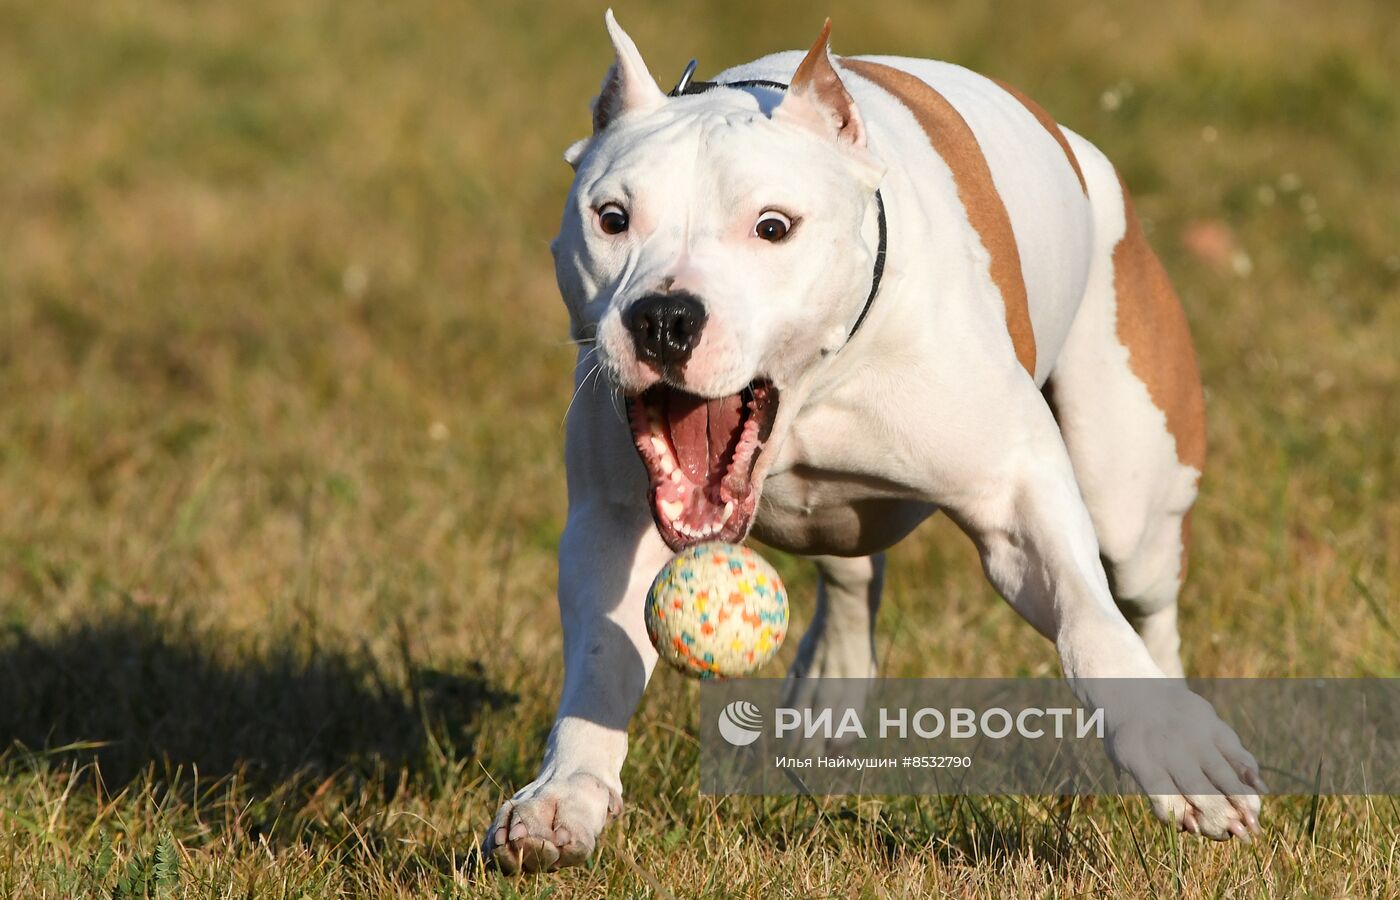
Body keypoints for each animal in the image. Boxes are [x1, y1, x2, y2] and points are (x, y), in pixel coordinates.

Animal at [487, 12, 1265, 873]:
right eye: (612, 218)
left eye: (773, 227)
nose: (663, 317)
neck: (815, 390)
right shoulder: (611, 520)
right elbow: (604, 655)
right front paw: (565, 796)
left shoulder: (1015, 495)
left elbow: (1088, 618)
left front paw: (1170, 743)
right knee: (853, 572)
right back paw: (831, 681)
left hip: (1133, 493)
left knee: (1144, 599)